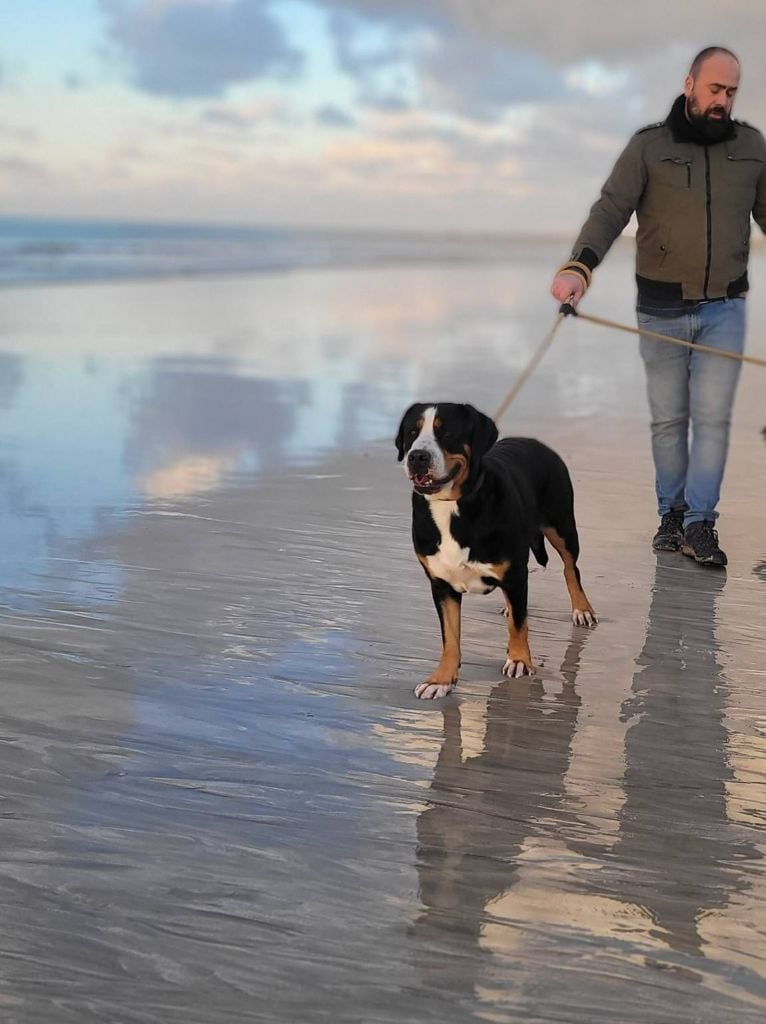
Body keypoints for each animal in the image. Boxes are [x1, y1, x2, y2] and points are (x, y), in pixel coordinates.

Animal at [397, 399, 593, 696]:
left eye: (446, 432)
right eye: (411, 433)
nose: (418, 457)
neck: (451, 507)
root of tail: (535, 443)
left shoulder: (515, 573)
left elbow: (519, 626)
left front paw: (520, 660)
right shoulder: (442, 585)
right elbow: (450, 637)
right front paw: (441, 679)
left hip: (562, 526)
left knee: (571, 568)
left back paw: (582, 609)